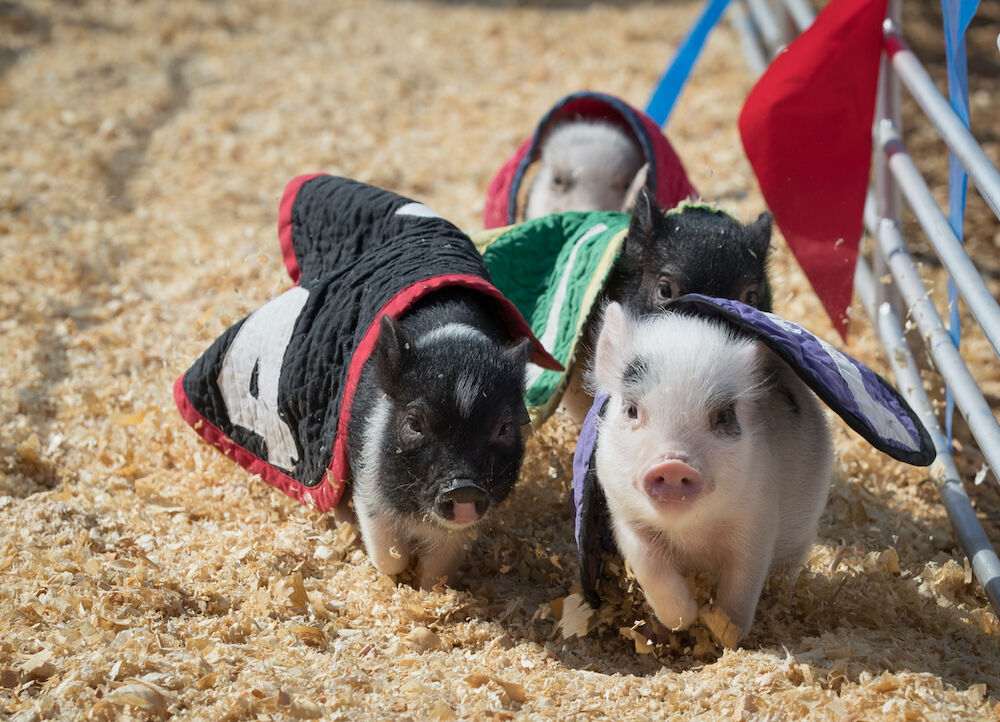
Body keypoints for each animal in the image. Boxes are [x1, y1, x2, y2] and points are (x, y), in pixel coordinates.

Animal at [346, 288, 532, 592]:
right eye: (414, 423)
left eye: (504, 428)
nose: (464, 488)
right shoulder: (368, 485)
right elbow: (389, 556)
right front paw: (398, 579)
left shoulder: (456, 534)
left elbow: (438, 571)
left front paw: (427, 591)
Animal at [588, 302, 832, 636]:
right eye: (632, 409)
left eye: (723, 416)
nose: (673, 463)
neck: (691, 533)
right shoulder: (624, 513)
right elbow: (649, 564)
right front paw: (685, 619)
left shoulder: (758, 516)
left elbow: (743, 580)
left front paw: (724, 630)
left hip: (801, 535)